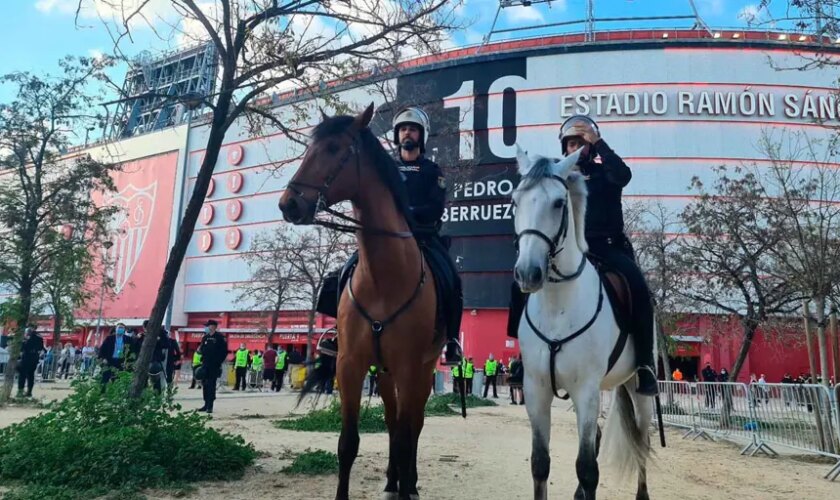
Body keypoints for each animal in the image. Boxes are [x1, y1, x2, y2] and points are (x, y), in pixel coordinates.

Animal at [278, 103, 446, 498]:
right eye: (310, 148)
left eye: (333, 149)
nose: (289, 203)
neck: (384, 277)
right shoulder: (350, 364)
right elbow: (348, 443)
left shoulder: (409, 366)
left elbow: (407, 436)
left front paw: (408, 485)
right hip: (383, 373)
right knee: (392, 420)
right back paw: (392, 480)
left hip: (423, 369)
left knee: (412, 424)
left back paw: (409, 482)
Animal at [512, 146, 656, 500]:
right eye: (515, 201)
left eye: (558, 203)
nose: (528, 273)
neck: (558, 306)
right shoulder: (536, 391)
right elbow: (540, 464)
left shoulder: (586, 391)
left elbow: (588, 469)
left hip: (639, 390)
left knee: (642, 442)